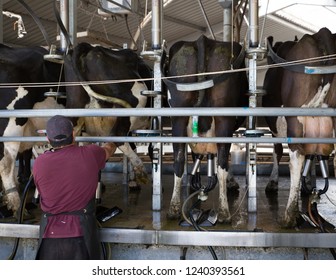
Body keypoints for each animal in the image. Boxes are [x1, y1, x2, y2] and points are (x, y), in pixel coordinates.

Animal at [161, 35, 248, 223]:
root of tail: (202, 40)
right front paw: (231, 183)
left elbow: (196, 156)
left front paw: (197, 186)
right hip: (224, 118)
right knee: (222, 163)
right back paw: (224, 212)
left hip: (178, 115)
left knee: (178, 160)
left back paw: (174, 209)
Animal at [262, 27, 336, 226]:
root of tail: (323, 34)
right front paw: (308, 184)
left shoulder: (275, 126)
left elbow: (277, 151)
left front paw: (272, 182)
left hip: (295, 118)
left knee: (296, 157)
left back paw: (290, 214)